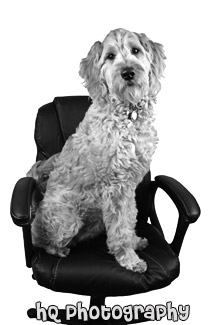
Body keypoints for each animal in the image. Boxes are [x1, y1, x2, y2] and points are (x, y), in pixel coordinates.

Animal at [28, 27, 165, 272]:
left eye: (135, 50)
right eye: (110, 56)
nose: (128, 73)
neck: (127, 115)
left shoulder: (129, 185)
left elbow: (130, 218)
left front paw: (134, 242)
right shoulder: (115, 186)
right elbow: (119, 227)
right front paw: (129, 259)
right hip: (67, 219)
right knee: (42, 240)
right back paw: (59, 250)